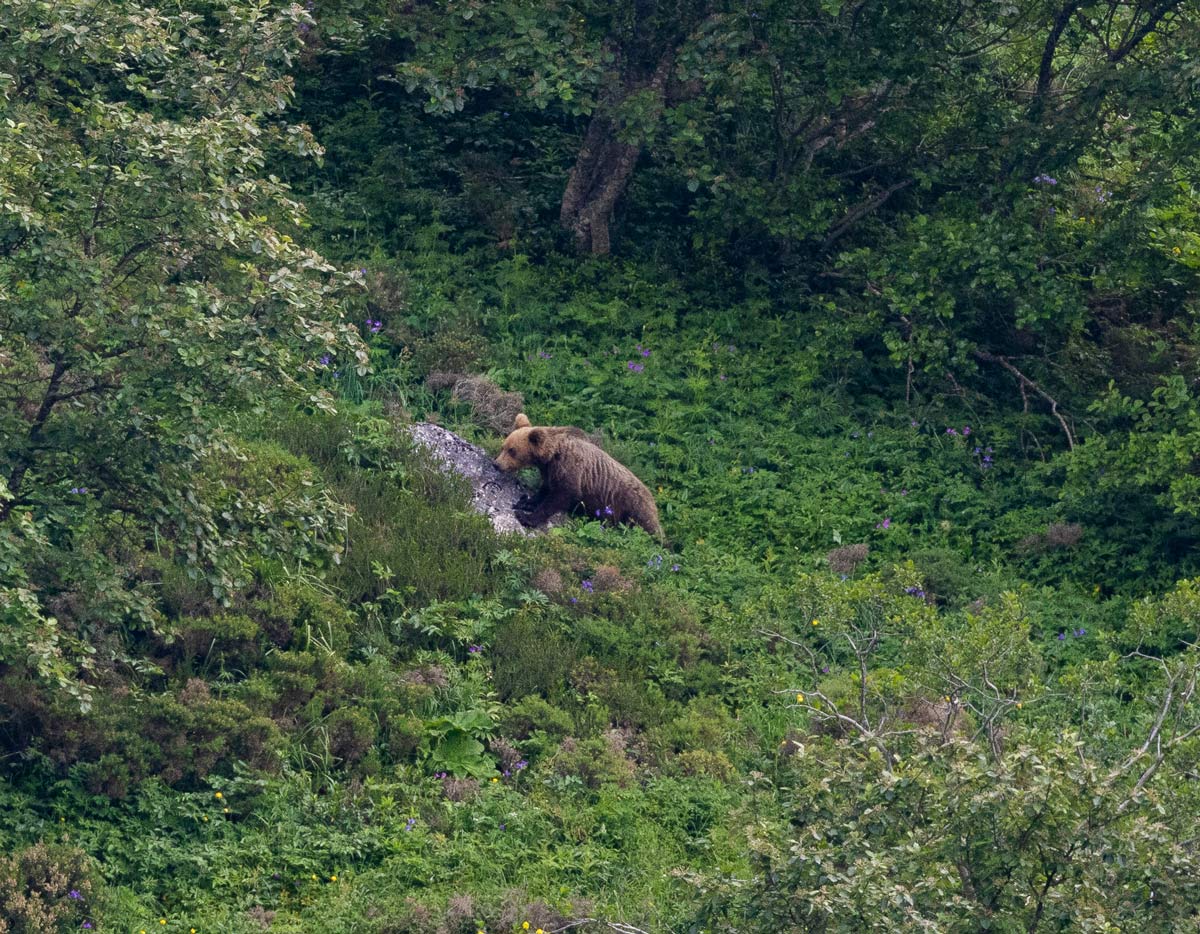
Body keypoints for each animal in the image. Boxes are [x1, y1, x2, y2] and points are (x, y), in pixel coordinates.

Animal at [496, 410, 667, 535]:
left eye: (512, 451)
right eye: (503, 446)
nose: (496, 464)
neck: (552, 455)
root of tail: (653, 499)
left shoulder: (570, 468)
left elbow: (562, 495)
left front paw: (526, 517)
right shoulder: (550, 471)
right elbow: (545, 489)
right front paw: (525, 501)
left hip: (633, 506)